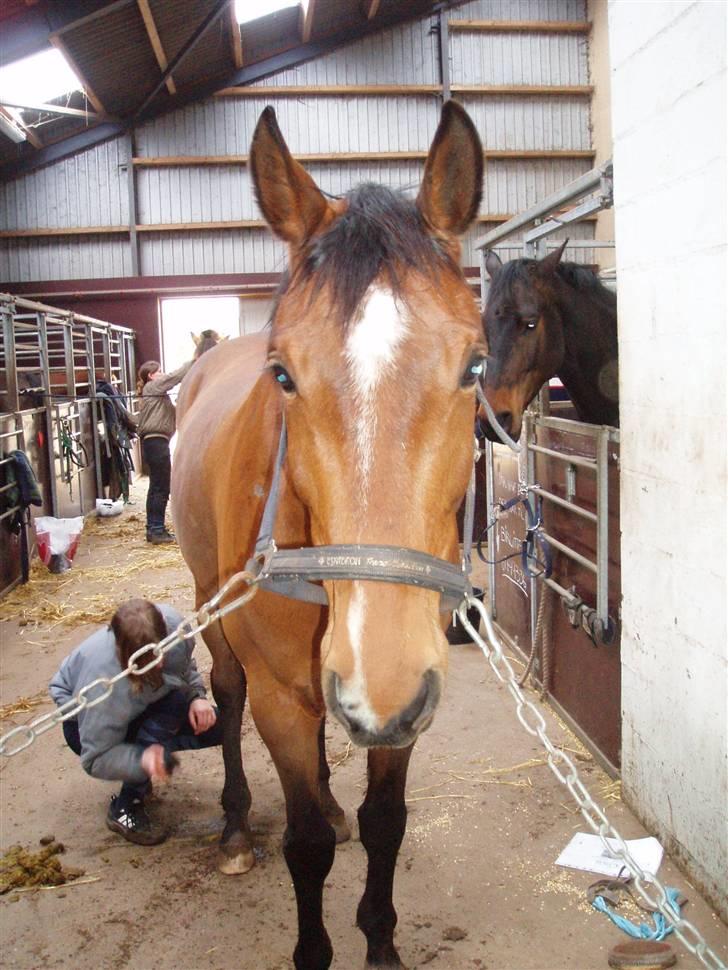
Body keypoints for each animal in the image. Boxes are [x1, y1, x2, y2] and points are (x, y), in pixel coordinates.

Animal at [173, 102, 486, 964]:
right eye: (283, 374)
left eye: (476, 367)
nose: (376, 681)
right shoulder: (283, 699)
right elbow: (306, 845)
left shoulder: (408, 701)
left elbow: (386, 824)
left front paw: (379, 940)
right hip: (212, 607)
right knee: (225, 693)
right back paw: (236, 826)